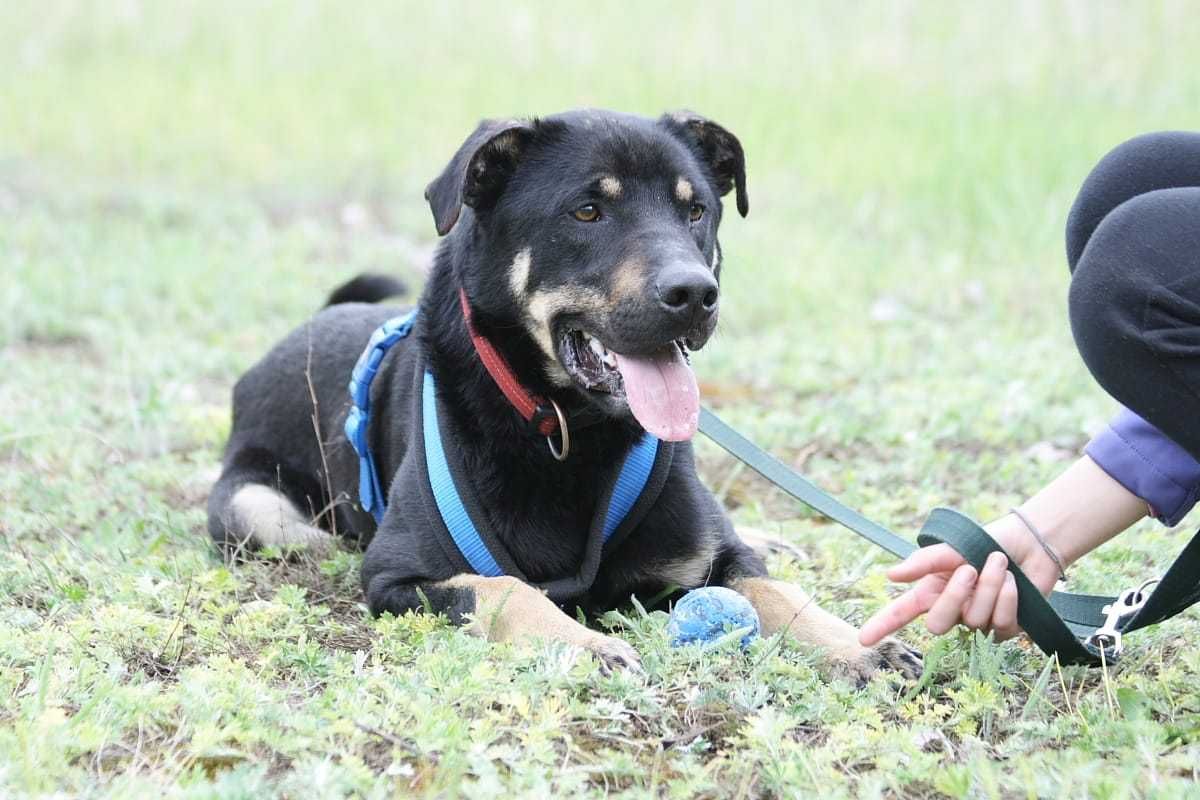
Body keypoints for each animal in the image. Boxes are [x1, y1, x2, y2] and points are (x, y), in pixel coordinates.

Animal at [206, 107, 921, 681]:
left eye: (695, 211)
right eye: (587, 211)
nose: (696, 293)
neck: (566, 428)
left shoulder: (710, 554)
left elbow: (774, 590)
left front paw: (855, 644)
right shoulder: (399, 574)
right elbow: (503, 589)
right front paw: (581, 644)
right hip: (255, 511)